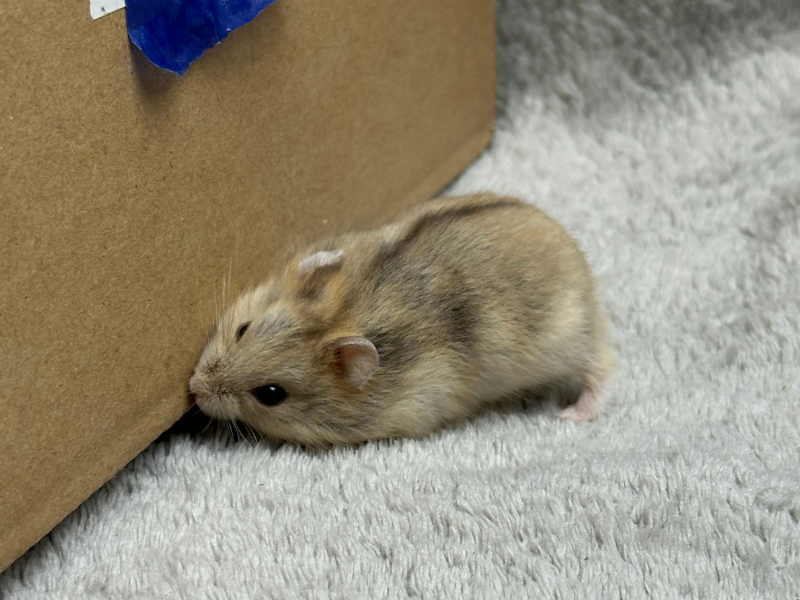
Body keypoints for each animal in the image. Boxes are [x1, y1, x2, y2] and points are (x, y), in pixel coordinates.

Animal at [189, 194, 615, 446]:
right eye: (243, 329)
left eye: (271, 394)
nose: (194, 388)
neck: (349, 315)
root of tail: (578, 258)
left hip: (570, 339)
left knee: (603, 366)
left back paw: (571, 416)